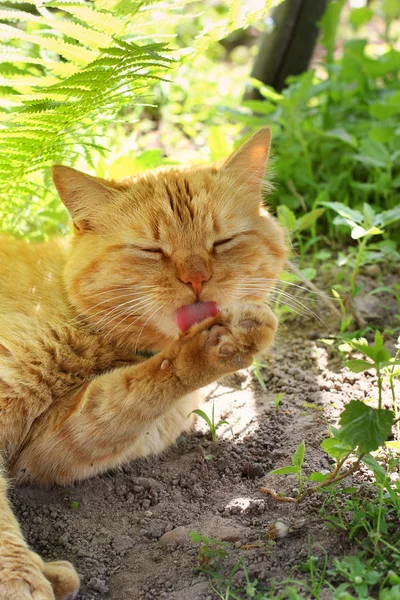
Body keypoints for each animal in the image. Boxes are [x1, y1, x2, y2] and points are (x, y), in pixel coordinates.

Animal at [0, 127, 288, 600]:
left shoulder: (49, 449)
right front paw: (20, 582)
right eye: (152, 250)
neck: (95, 340)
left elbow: (129, 394)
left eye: (222, 242)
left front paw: (223, 341)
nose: (196, 277)